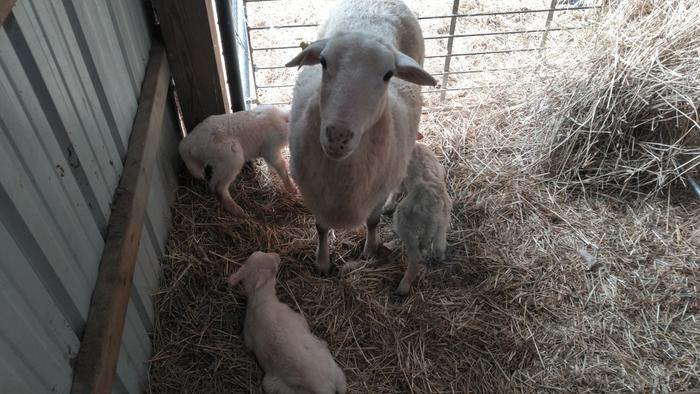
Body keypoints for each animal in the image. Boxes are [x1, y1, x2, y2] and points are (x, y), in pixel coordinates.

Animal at [228, 252, 346, 394]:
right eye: (274, 267)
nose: (277, 255)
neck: (259, 300)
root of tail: (323, 387)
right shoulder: (296, 317)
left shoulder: (248, 337)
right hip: (335, 370)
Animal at [286, 0, 438, 274]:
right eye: (323, 62)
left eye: (388, 74)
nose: (338, 135)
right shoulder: (313, 194)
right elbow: (321, 228)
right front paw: (322, 263)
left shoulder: (376, 193)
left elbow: (372, 221)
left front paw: (369, 251)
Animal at [392, 142, 452, 296]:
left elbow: (395, 190)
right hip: (443, 220)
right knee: (439, 245)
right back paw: (440, 257)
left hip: (403, 221)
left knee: (416, 257)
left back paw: (403, 287)